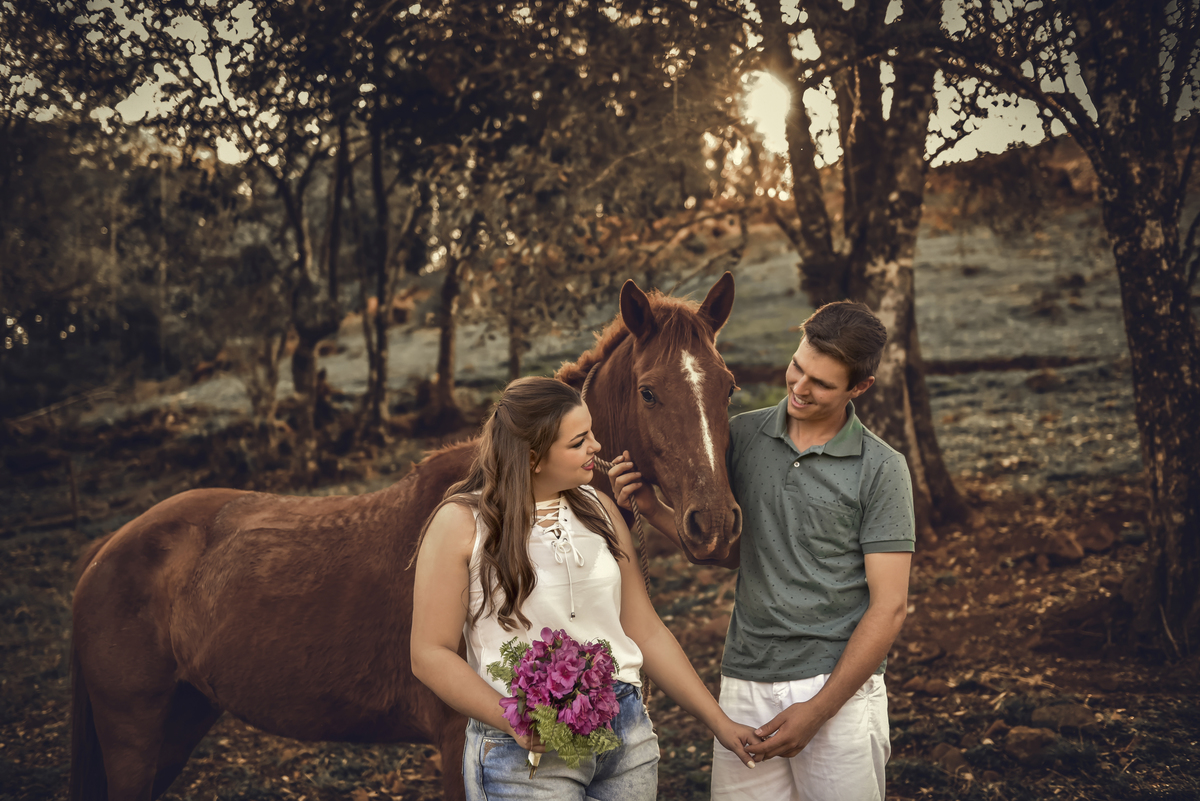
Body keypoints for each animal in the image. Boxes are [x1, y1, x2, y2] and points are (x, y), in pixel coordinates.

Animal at [69, 274, 743, 801]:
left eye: (727, 386)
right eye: (649, 391)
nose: (715, 524)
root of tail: (104, 553)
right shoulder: (454, 744)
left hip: (180, 721)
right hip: (134, 734)